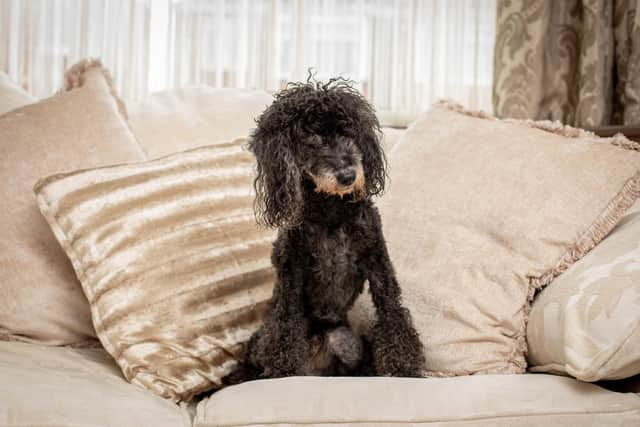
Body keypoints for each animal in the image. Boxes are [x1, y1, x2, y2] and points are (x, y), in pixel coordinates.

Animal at [225, 77, 424, 384]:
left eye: (348, 133)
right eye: (312, 140)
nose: (348, 176)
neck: (331, 212)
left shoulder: (378, 261)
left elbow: (392, 311)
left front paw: (404, 369)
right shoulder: (291, 273)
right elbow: (287, 325)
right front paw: (283, 373)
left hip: (346, 340)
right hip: (262, 339)